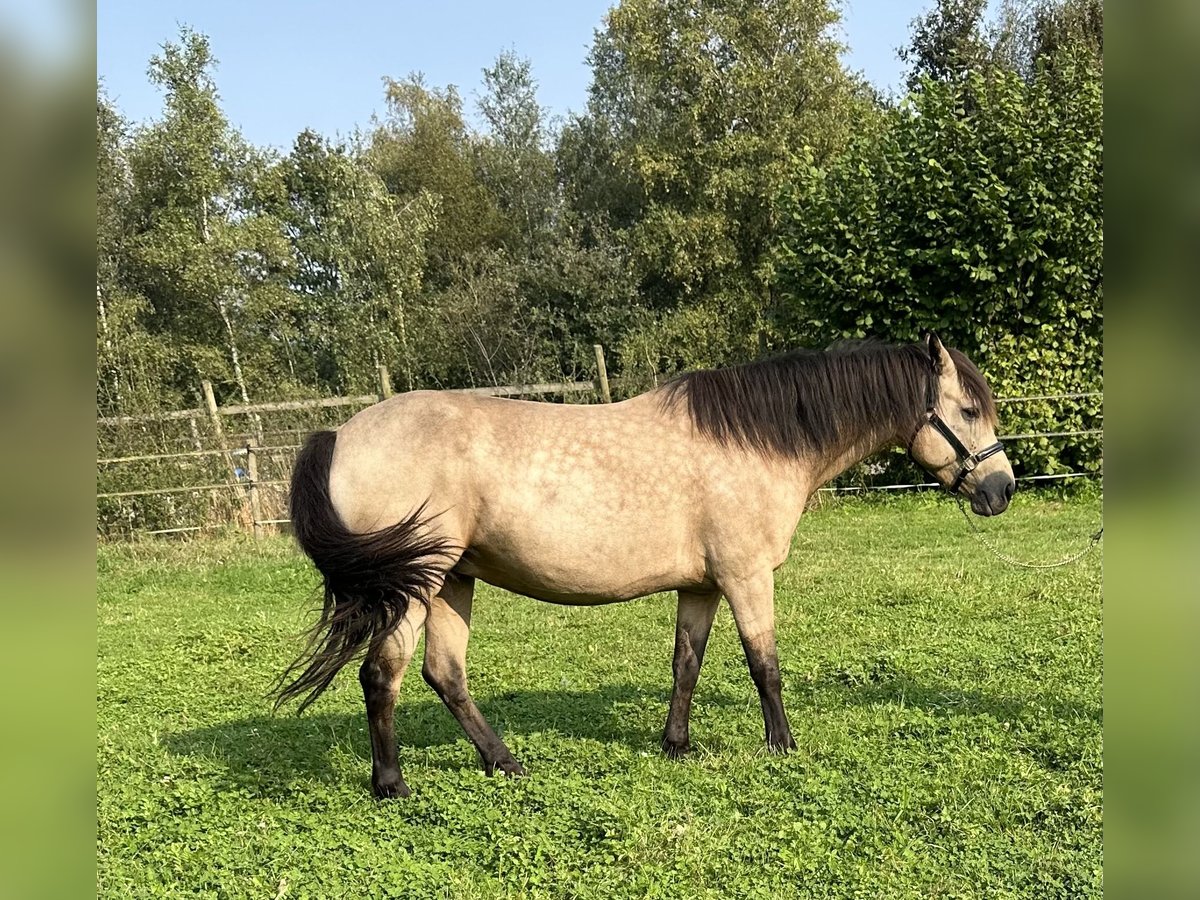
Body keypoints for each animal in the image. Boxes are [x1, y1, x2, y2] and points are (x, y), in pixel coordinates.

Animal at [274, 336, 1012, 801]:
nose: (1001, 489)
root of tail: (340, 433)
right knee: (382, 676)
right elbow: (764, 664)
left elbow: (687, 663)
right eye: (968, 410)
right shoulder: (746, 576)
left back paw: (505, 763)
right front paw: (782, 745)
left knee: (443, 674)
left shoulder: (702, 586)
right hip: (413, 587)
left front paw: (676, 744)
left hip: (454, 580)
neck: (753, 441)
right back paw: (392, 785)